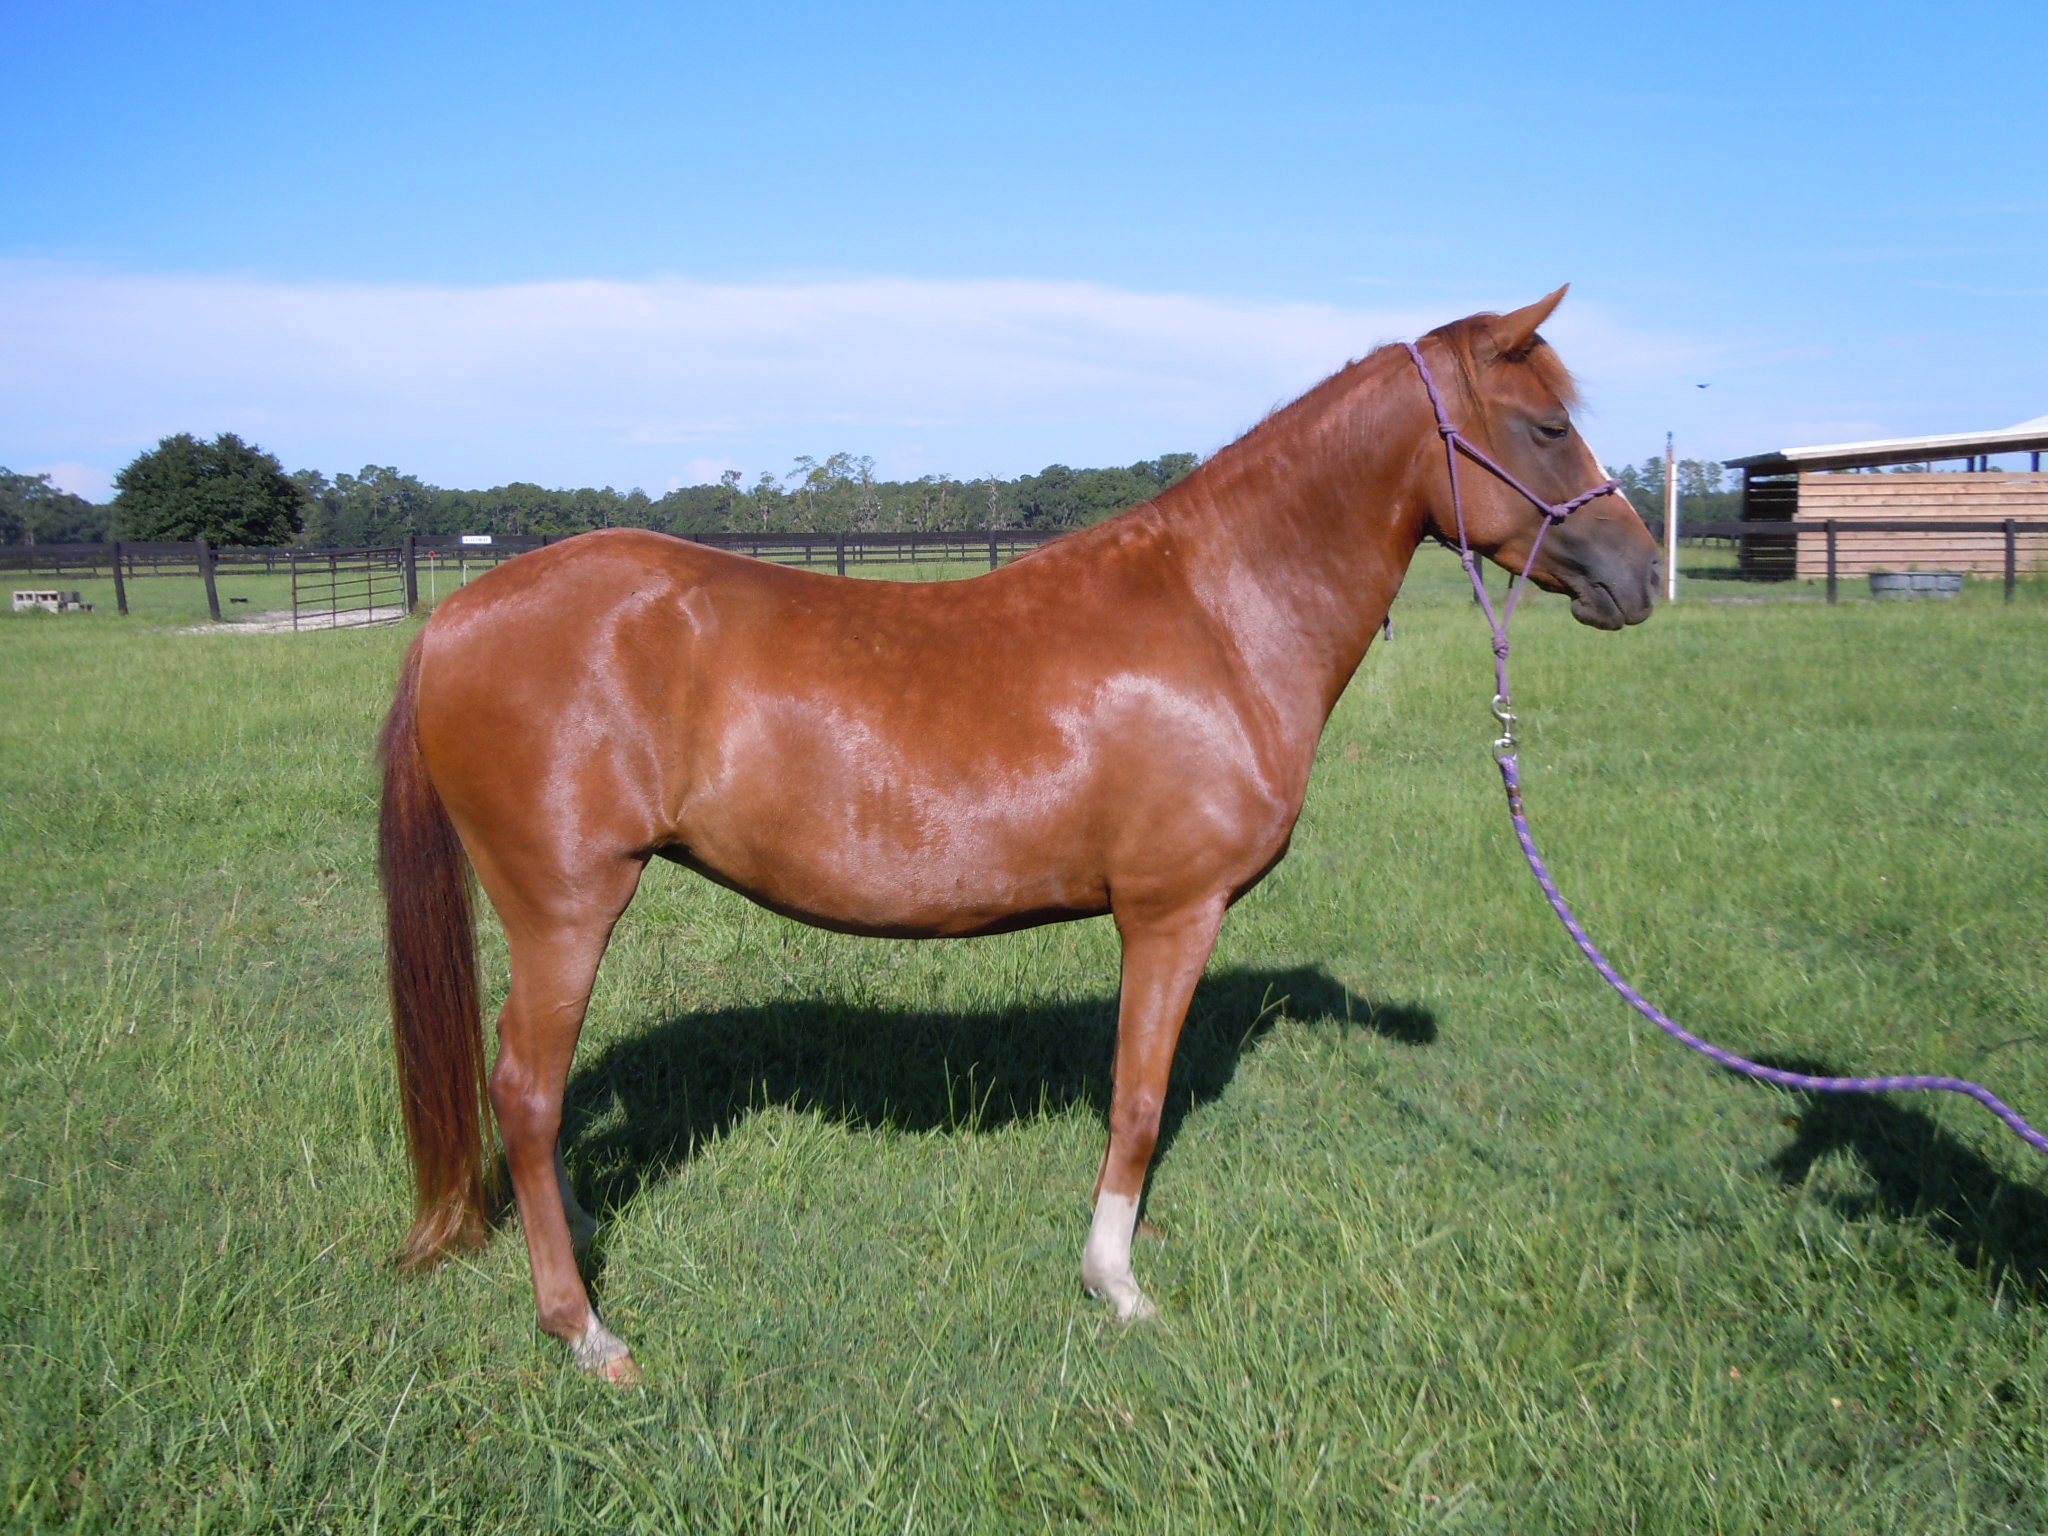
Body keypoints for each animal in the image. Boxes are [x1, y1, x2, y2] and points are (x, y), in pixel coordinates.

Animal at [376, 288, 1654, 1384]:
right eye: (1546, 426)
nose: (1641, 574)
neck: (1218, 617)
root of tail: (457, 614)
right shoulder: (1170, 912)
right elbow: (1137, 1098)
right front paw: (1117, 1285)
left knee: (534, 1096)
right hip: (566, 908)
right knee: (525, 1087)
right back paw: (583, 1328)